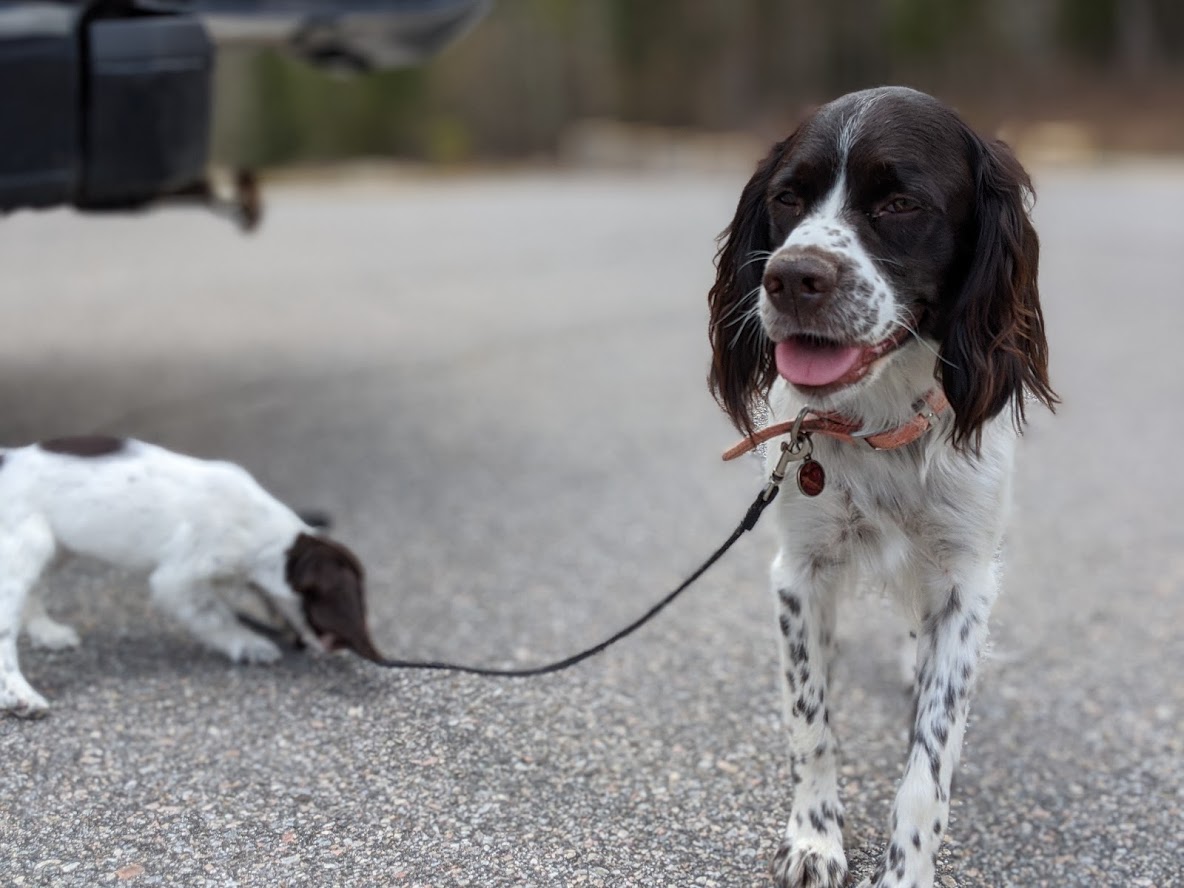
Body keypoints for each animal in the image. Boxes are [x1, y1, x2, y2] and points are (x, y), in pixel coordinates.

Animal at [0, 435, 376, 719]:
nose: (335, 644)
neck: (265, 533)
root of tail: (7, 457)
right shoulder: (177, 579)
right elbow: (215, 615)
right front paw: (250, 643)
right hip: (26, 545)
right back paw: (20, 696)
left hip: (56, 546)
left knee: (34, 590)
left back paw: (48, 633)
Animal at [705, 85, 1060, 888]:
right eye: (787, 197)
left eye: (900, 203)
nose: (790, 277)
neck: (881, 424)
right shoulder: (799, 570)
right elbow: (811, 721)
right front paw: (814, 839)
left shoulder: (966, 580)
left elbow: (930, 763)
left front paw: (905, 871)